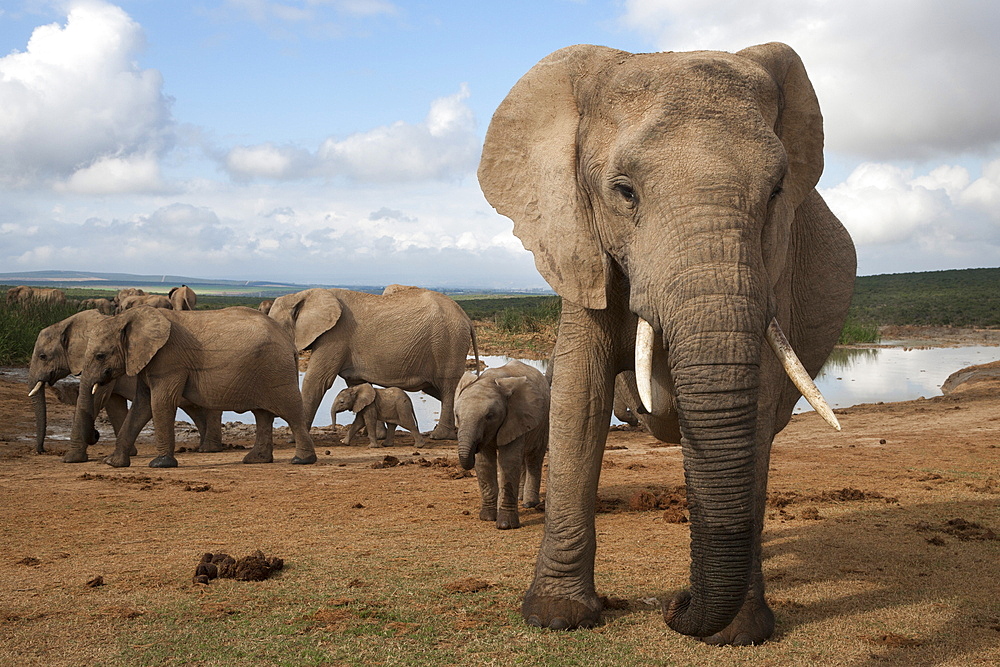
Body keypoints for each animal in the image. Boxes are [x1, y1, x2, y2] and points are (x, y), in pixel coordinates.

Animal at [27, 310, 223, 462]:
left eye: (43, 356)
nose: (42, 451)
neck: (68, 323)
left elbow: (97, 399)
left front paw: (70, 459)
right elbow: (113, 404)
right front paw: (130, 453)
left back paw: (209, 449)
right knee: (195, 409)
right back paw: (205, 448)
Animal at [74, 306, 316, 468]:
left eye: (100, 356)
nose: (95, 434)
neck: (128, 318)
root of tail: (289, 343)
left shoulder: (169, 360)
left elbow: (161, 403)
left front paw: (160, 464)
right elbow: (142, 406)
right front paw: (113, 463)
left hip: (276, 369)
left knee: (291, 411)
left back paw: (302, 460)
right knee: (262, 414)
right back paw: (255, 460)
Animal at [270, 286, 480, 438]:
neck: (303, 295)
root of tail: (466, 318)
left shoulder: (334, 336)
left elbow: (318, 380)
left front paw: (293, 439)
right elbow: (357, 383)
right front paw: (377, 435)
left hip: (448, 342)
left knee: (446, 387)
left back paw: (439, 436)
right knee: (438, 390)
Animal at [458, 360, 552, 532]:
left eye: (489, 416)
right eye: (457, 416)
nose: (475, 447)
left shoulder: (516, 415)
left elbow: (508, 462)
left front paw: (505, 525)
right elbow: (484, 463)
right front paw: (487, 518)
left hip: (543, 421)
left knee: (533, 458)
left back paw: (529, 503)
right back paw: (520, 498)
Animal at [480, 43, 856, 648]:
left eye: (777, 191)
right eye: (624, 191)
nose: (671, 607)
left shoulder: (777, 268)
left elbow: (756, 406)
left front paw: (739, 633)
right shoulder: (581, 243)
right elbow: (579, 399)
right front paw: (556, 616)